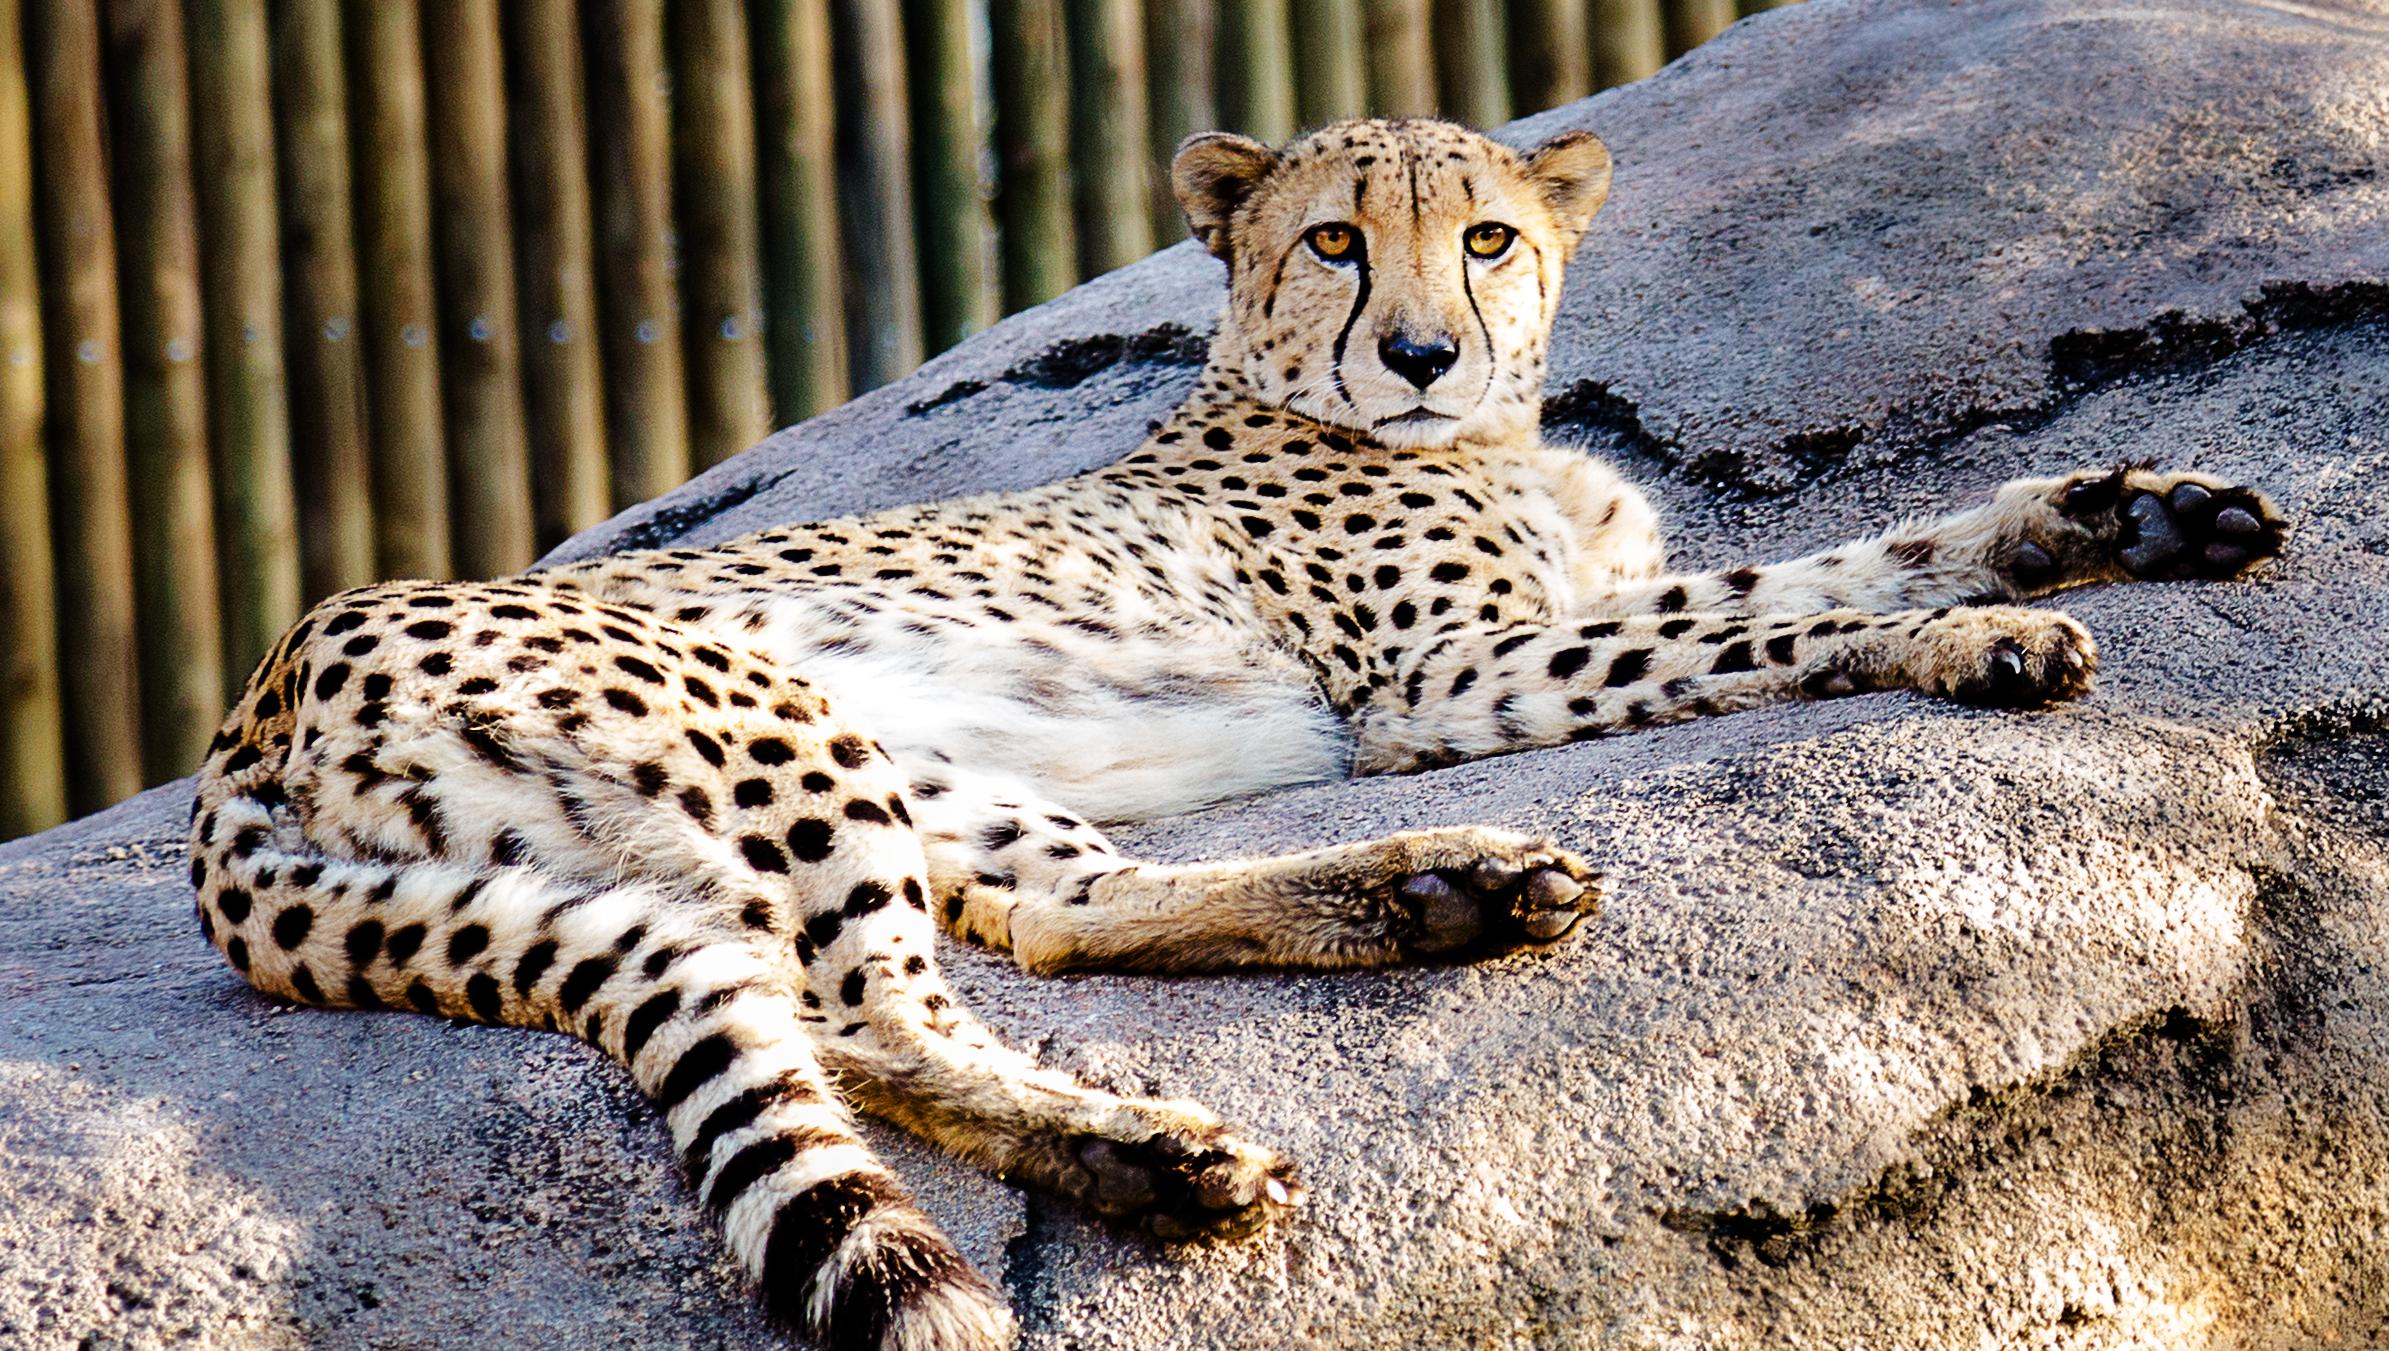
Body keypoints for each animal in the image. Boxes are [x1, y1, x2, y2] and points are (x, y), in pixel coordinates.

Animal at [186, 119, 2274, 1351]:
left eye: (1488, 238)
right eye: (1334, 241)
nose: (1421, 351)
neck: (1469, 435)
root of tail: (253, 714)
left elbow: (1844, 551)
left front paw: (2122, 510)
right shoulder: (1444, 678)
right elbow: (1777, 617)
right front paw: (1979, 636)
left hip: (895, 771)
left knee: (1040, 926)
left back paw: (1437, 901)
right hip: (774, 727)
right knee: (864, 1016)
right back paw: (1161, 1149)